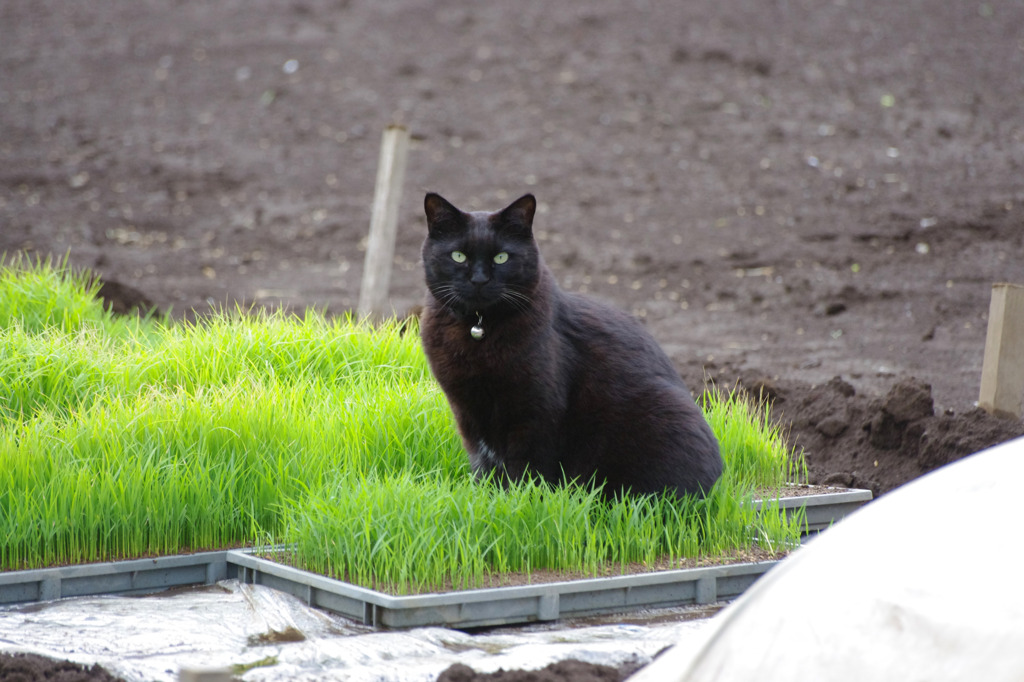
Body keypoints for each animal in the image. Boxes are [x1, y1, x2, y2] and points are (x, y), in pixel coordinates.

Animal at [415, 193, 720, 497]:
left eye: (502, 258)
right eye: (458, 256)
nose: (479, 280)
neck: (478, 329)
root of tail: (719, 485)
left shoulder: (536, 412)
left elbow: (525, 468)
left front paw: (518, 500)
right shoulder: (466, 411)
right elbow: (482, 463)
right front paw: (485, 497)